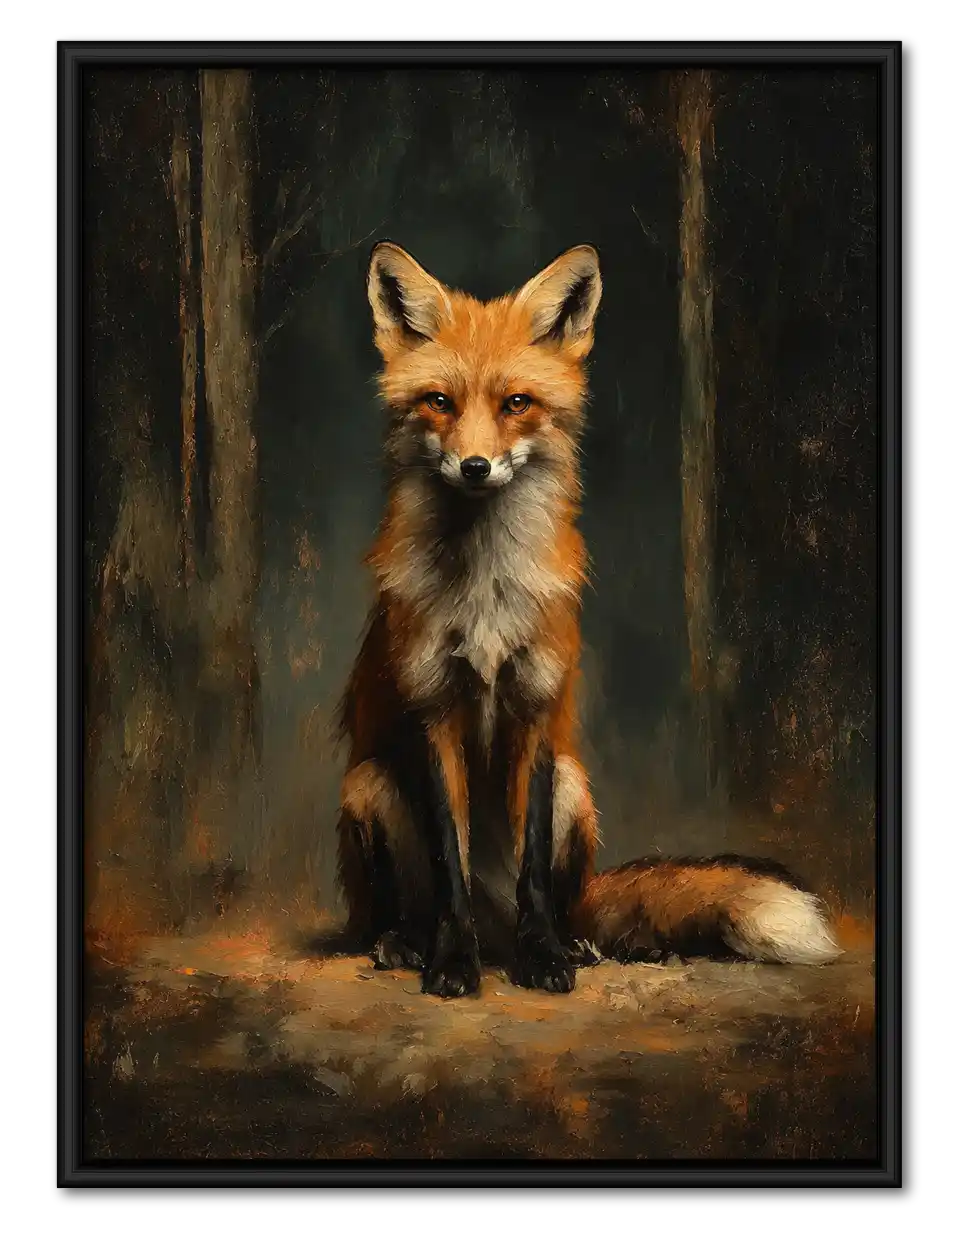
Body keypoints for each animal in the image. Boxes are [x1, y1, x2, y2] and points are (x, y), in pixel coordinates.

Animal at [335, 240, 842, 998]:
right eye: (439, 403)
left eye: (516, 403)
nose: (475, 466)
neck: (485, 587)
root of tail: (495, 923)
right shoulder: (434, 712)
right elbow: (451, 867)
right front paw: (452, 962)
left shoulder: (539, 710)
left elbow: (535, 870)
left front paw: (544, 955)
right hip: (368, 787)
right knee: (411, 907)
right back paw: (407, 941)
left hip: (578, 787)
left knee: (565, 901)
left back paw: (570, 942)